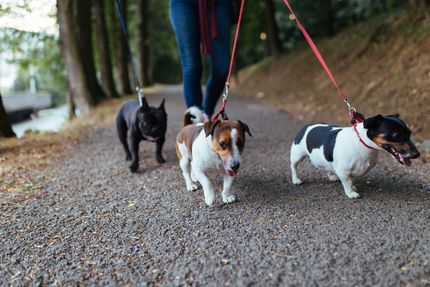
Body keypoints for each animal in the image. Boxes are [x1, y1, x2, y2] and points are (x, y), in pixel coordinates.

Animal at [290, 113, 418, 199]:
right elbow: (347, 182)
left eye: (410, 133)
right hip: (297, 155)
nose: (417, 154)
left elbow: (352, 180)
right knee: (294, 167)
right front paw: (351, 193)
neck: (361, 143)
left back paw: (332, 176)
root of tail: (307, 126)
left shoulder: (359, 170)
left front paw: (353, 187)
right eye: (396, 135)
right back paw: (296, 180)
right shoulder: (343, 171)